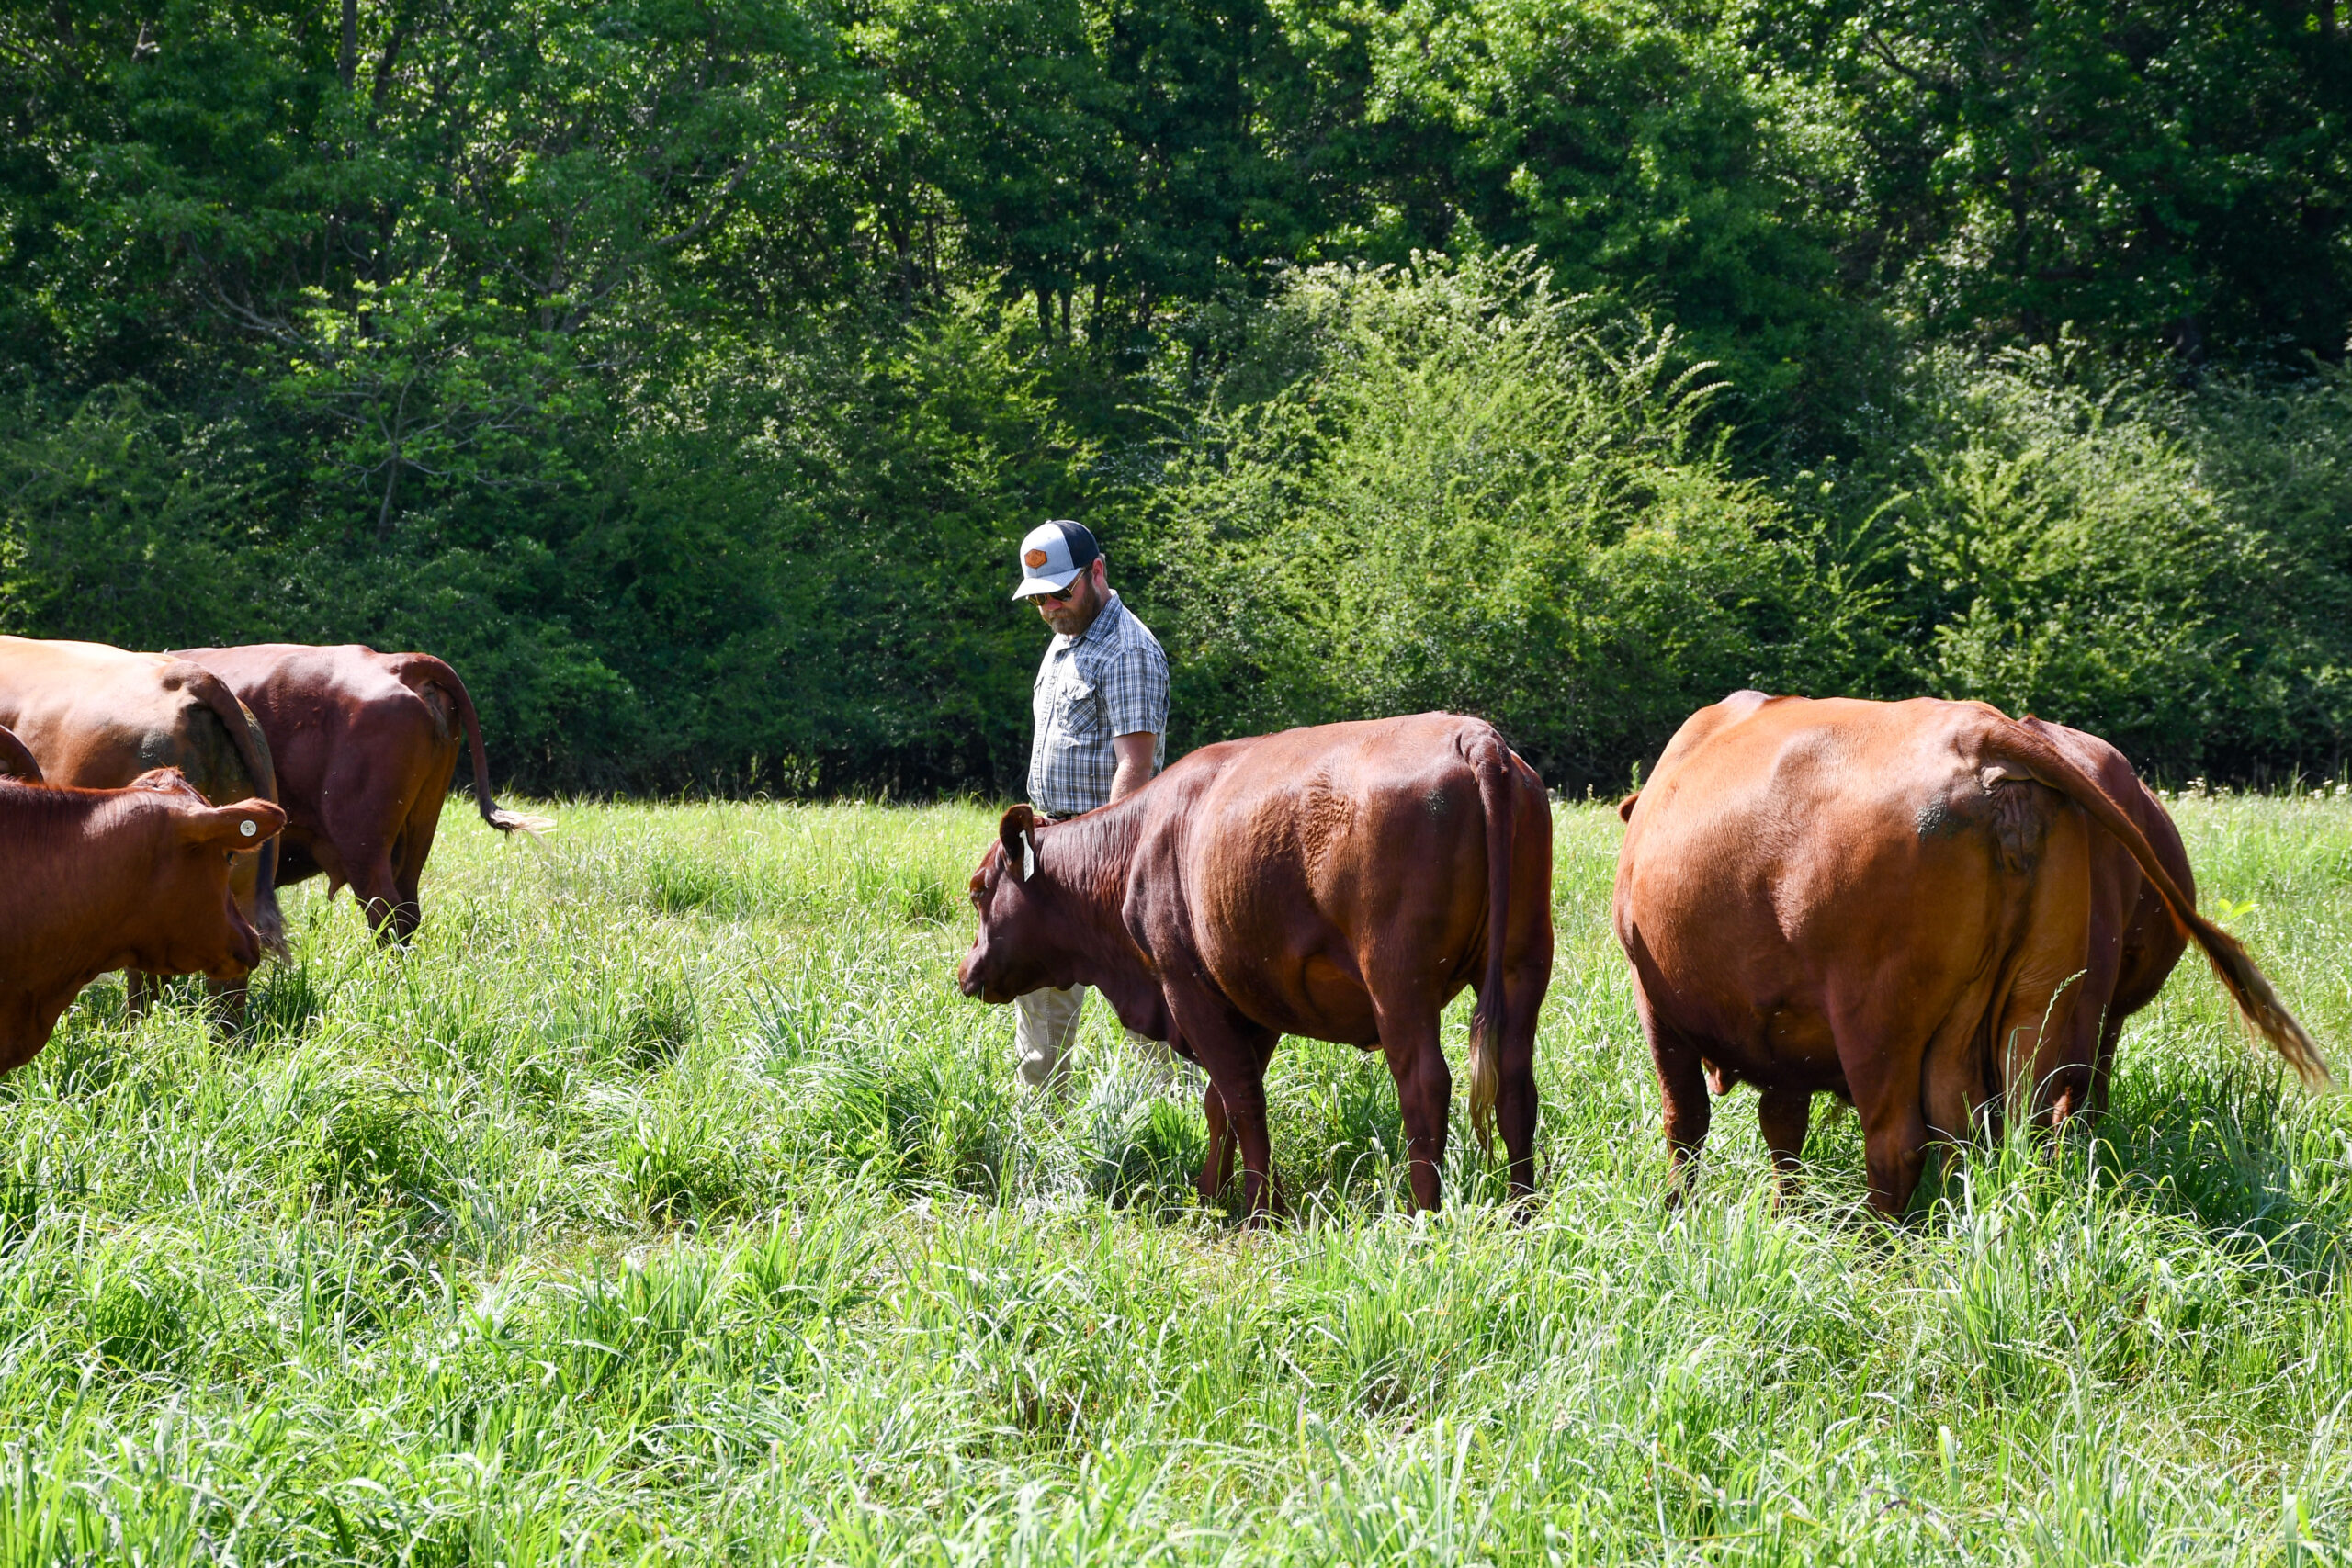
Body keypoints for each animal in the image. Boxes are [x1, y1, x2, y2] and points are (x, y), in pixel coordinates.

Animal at [957, 713, 1554, 1216]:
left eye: (979, 890)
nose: (966, 972)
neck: (1137, 845)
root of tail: (1474, 735)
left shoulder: (1185, 986)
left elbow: (1242, 1099)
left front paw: (1260, 1210)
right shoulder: (1253, 996)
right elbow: (1220, 1101)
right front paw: (1210, 1194)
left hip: (1398, 981)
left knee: (1425, 1084)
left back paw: (1419, 1216)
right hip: (1523, 965)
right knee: (1515, 1085)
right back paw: (1523, 1210)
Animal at [1613, 692, 2328, 1218]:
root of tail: (1982, 733)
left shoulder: (1658, 1005)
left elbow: (1686, 1123)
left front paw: (1677, 1215)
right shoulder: (1782, 1036)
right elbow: (1782, 1130)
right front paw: (1782, 1217)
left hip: (1878, 1017)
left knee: (1902, 1143)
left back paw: (1876, 1252)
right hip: (2032, 1005)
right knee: (2011, 1124)